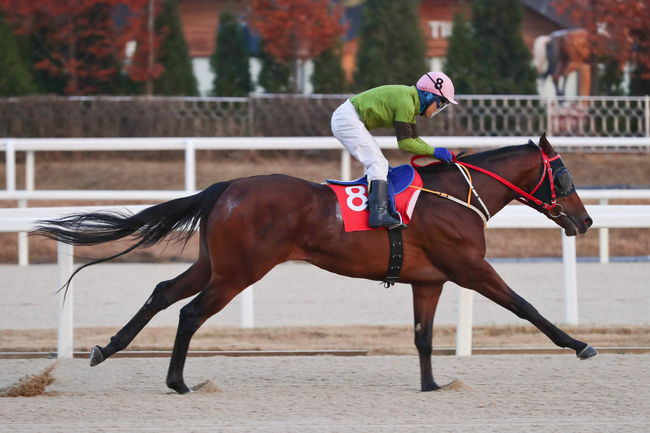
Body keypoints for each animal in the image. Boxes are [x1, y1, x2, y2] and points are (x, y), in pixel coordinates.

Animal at [34, 133, 592, 394]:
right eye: (564, 176)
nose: (585, 221)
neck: (456, 195)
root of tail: (226, 188)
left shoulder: (428, 280)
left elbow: (423, 336)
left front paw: (432, 384)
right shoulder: (471, 269)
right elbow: (526, 307)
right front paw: (580, 344)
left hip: (215, 264)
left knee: (163, 292)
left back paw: (106, 348)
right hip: (240, 272)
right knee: (190, 313)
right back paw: (177, 381)